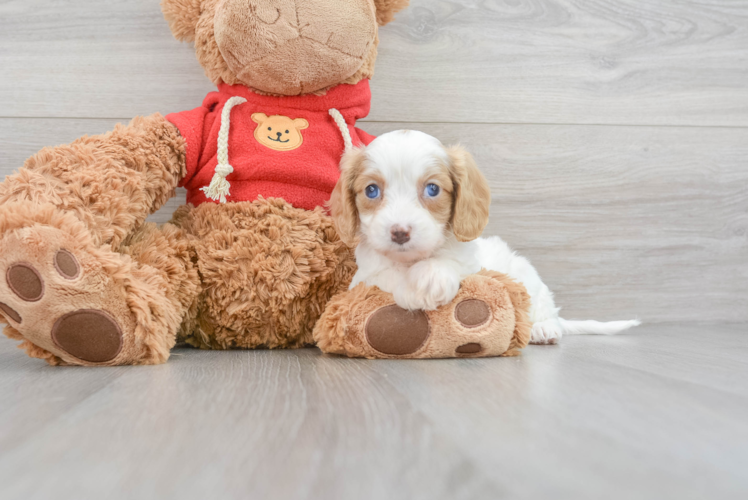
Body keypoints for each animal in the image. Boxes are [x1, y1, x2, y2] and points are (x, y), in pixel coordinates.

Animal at [330, 129, 640, 344]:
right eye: (372, 191)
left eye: (432, 189)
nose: (399, 232)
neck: (413, 260)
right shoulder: (364, 277)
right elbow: (386, 273)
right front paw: (409, 286)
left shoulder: (472, 264)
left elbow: (449, 263)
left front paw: (429, 279)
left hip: (529, 279)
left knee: (547, 310)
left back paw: (543, 328)